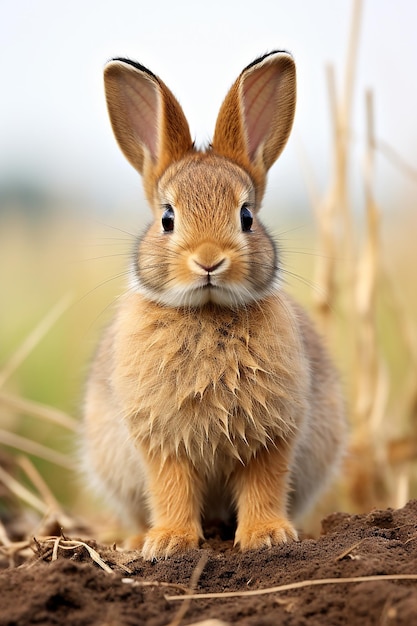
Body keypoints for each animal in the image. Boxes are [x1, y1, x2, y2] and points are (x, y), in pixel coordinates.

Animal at [81, 51, 344, 560]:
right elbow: (171, 488)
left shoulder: (271, 434)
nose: (208, 260)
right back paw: (138, 538)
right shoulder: (160, 439)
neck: (207, 313)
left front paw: (267, 536)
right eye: (167, 218)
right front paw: (170, 543)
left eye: (246, 216)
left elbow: (264, 483)